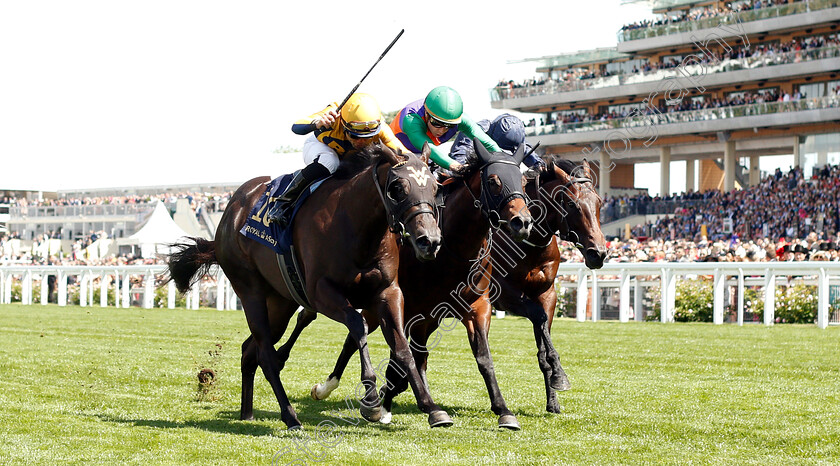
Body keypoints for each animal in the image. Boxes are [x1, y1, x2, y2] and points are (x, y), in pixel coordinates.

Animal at [166, 143, 452, 430]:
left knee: (250, 350)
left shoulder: (388, 292)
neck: (357, 226)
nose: (430, 241)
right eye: (397, 187)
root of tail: (230, 212)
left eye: (435, 188)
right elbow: (358, 325)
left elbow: (402, 347)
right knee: (266, 355)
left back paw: (247, 413)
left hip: (280, 302)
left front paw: (431, 408)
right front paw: (371, 400)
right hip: (250, 291)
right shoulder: (321, 293)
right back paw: (290, 416)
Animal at [296, 143, 536, 430]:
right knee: (353, 338)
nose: (522, 222)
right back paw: (332, 388)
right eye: (494, 181)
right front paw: (396, 402)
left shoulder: (476, 307)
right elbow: (406, 355)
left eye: (523, 181)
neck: (455, 248)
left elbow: (483, 358)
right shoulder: (418, 312)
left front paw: (503, 410)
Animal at [488, 157, 608, 416]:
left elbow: (542, 334)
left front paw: (553, 399)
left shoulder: (547, 293)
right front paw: (560, 376)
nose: (599, 253)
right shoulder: (504, 293)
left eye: (599, 202)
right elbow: (538, 317)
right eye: (572, 204)